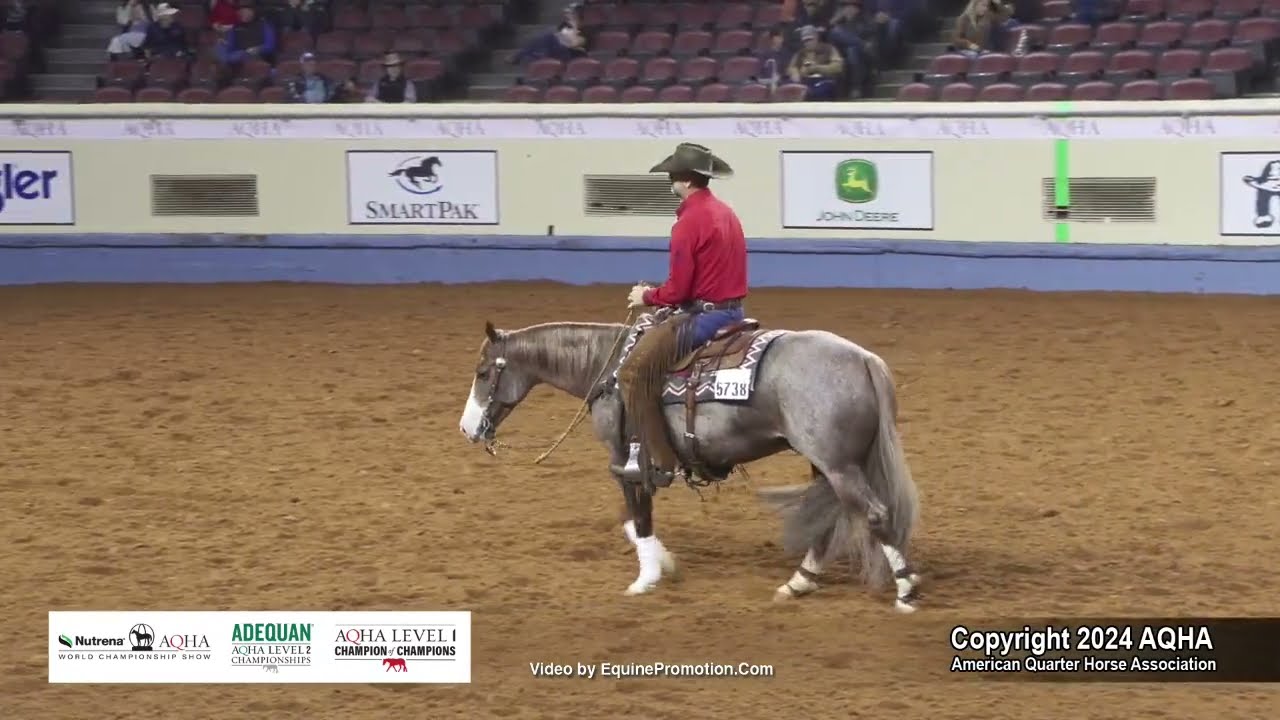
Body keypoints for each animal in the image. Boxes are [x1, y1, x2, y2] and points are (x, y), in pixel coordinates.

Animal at [457, 316, 922, 612]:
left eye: (482, 373)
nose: (467, 429)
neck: (606, 370)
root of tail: (863, 359)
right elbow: (630, 520)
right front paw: (665, 564)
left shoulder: (624, 460)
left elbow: (638, 517)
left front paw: (647, 578)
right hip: (827, 464)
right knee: (829, 519)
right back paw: (799, 582)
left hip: (838, 465)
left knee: (875, 515)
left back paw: (905, 593)